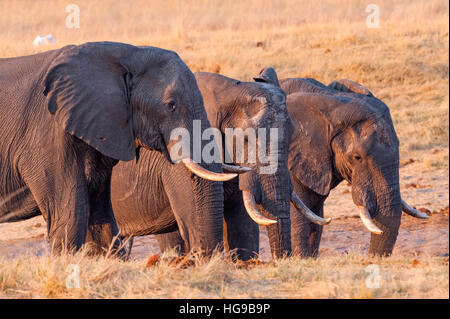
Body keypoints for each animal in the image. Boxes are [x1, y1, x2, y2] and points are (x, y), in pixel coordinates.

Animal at [0, 42, 237, 258]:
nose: (195, 256)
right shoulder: (47, 137)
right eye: (171, 105)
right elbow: (70, 216)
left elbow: (102, 222)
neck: (127, 54)